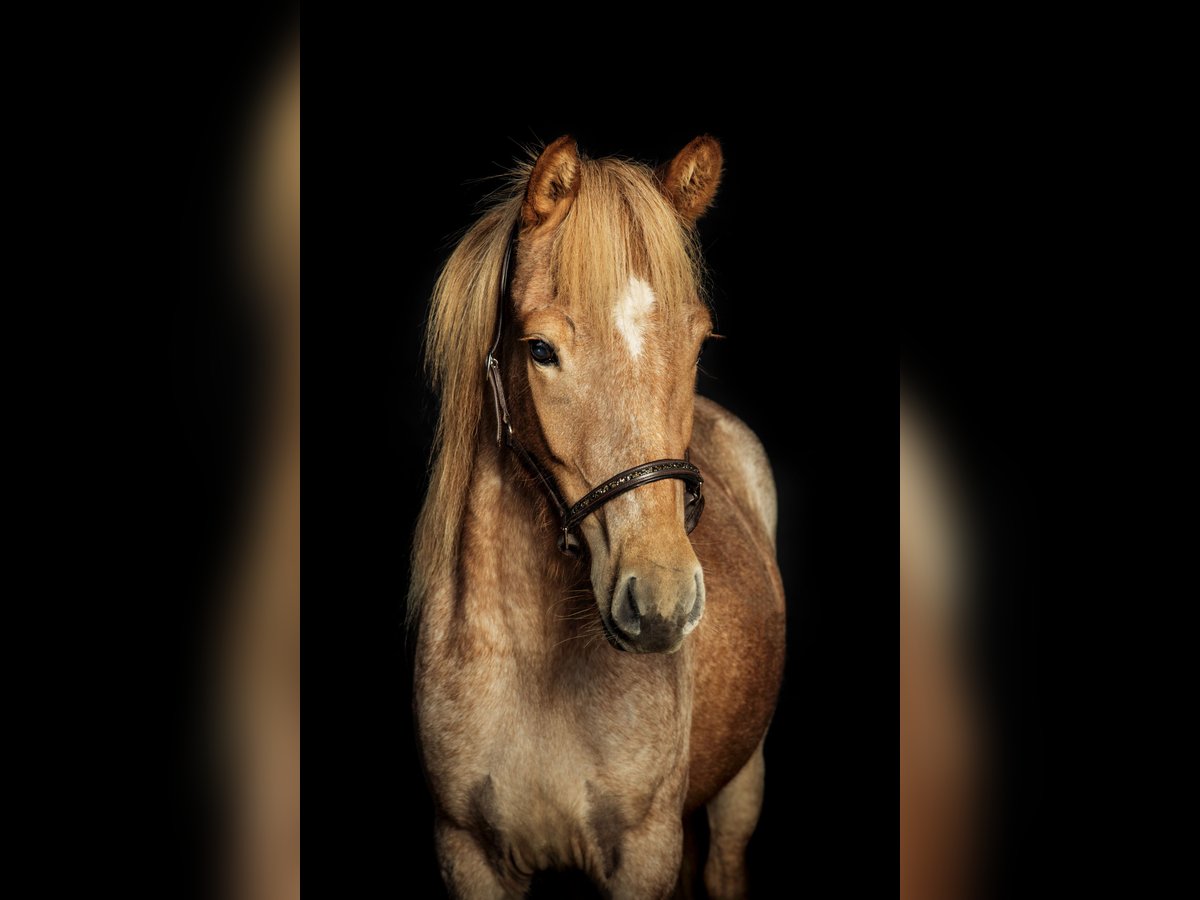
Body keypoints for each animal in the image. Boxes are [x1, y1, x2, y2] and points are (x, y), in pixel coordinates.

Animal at [410, 135, 787, 900]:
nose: (662, 602)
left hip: (743, 785)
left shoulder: (642, 855)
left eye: (696, 344)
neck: (535, 671)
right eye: (541, 350)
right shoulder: (467, 854)